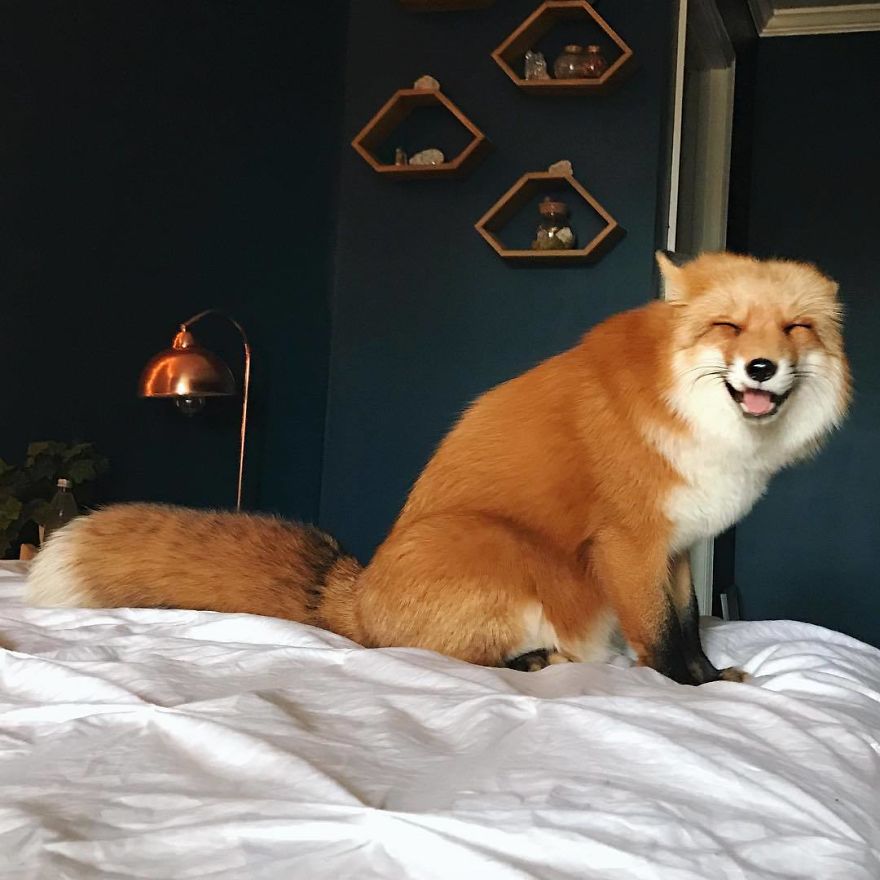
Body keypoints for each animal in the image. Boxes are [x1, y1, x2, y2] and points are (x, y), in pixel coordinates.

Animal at [27, 251, 851, 685]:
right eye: (728, 326)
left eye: (796, 329)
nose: (762, 366)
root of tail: (353, 596)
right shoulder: (629, 544)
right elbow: (657, 636)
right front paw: (685, 691)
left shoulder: (678, 548)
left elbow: (687, 625)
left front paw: (712, 679)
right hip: (500, 548)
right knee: (437, 657)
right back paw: (532, 660)